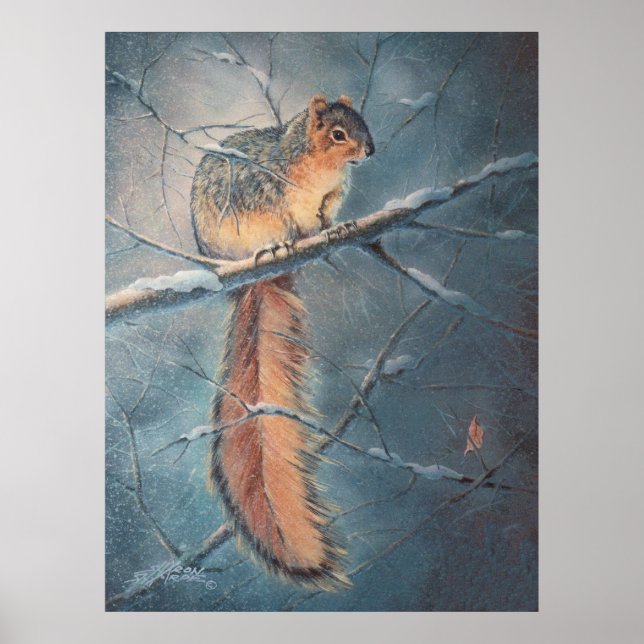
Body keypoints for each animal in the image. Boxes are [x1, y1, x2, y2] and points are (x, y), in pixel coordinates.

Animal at [190, 94, 374, 590]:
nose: (370, 151)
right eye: (337, 134)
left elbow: (324, 217)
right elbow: (284, 215)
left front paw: (335, 229)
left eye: (363, 123)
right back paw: (268, 251)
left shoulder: (327, 199)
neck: (317, 166)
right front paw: (285, 237)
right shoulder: (268, 189)